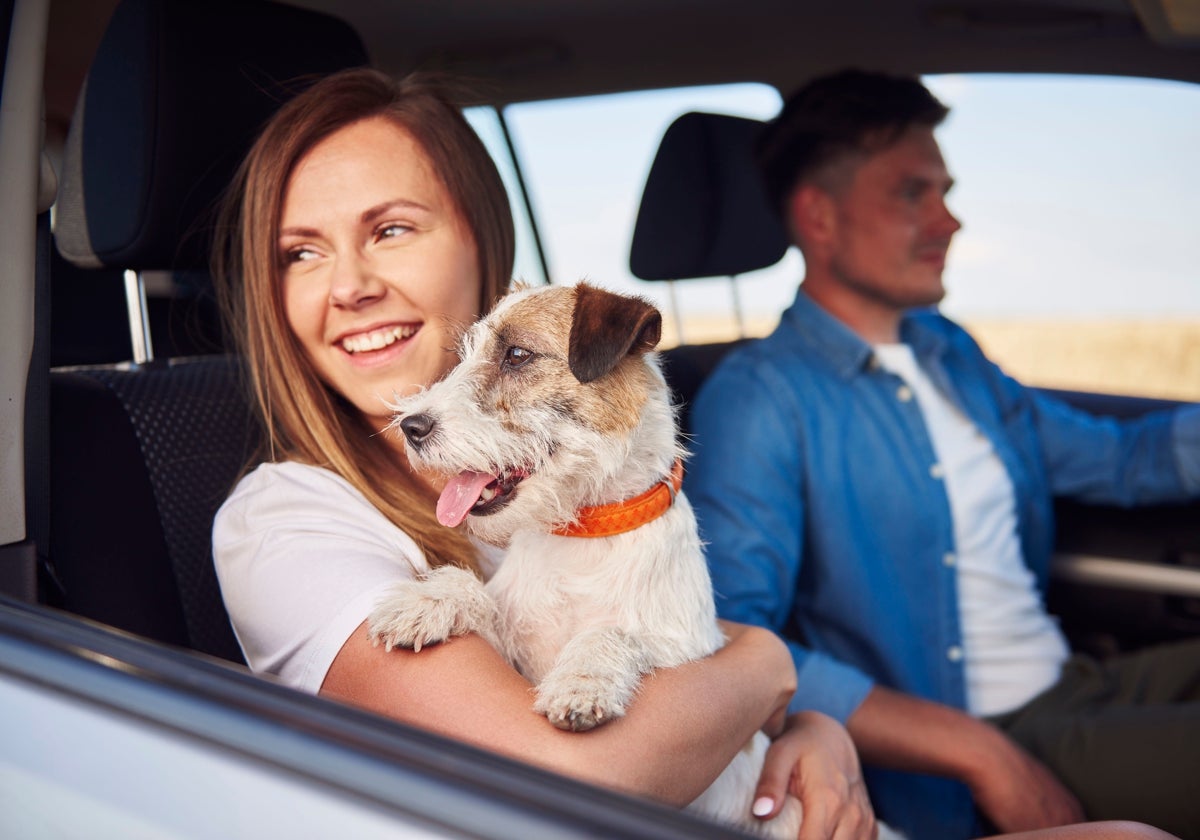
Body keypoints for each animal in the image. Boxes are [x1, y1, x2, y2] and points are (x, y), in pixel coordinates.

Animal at [369, 282, 897, 840]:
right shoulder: (516, 649)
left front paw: (582, 683)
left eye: (517, 355)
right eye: (465, 355)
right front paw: (426, 601)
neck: (584, 535)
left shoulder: (688, 650)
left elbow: (615, 633)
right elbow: (479, 597)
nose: (410, 427)